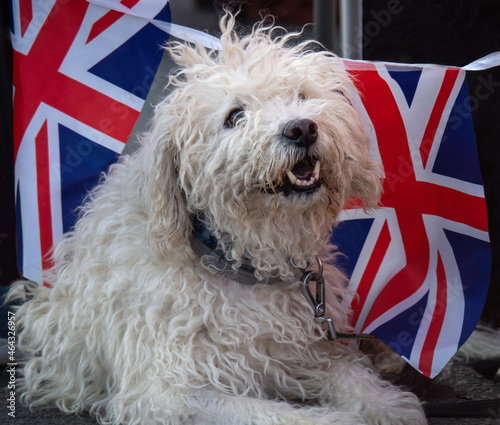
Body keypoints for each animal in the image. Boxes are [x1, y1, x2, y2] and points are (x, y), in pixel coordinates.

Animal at [10, 13, 426, 424]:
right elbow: (275, 415)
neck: (238, 264)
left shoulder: (312, 349)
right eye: (234, 116)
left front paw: (390, 406)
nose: (302, 128)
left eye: (302, 96)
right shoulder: (169, 392)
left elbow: (354, 378)